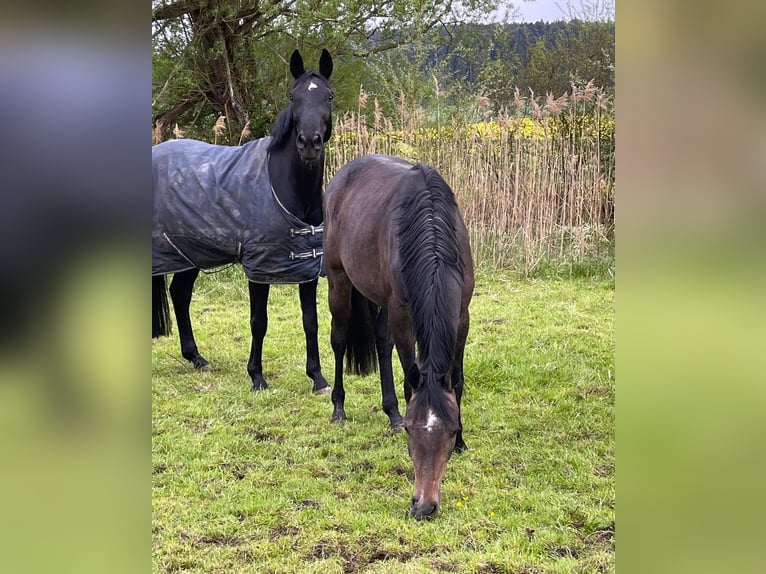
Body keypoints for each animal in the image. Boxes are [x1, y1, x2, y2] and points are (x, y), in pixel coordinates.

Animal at [152, 49, 333, 394]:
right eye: (293, 97)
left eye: (328, 96)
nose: (309, 143)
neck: (288, 189)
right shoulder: (259, 267)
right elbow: (258, 322)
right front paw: (257, 377)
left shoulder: (307, 267)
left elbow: (311, 322)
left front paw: (318, 379)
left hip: (191, 253)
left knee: (180, 295)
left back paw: (197, 358)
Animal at [322, 154, 475, 519]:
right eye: (411, 431)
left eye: (450, 432)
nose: (424, 505)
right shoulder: (401, 313)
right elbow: (409, 377)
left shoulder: (462, 314)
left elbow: (458, 379)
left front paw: (463, 441)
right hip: (338, 281)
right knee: (339, 339)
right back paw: (339, 409)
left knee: (381, 342)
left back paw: (390, 411)